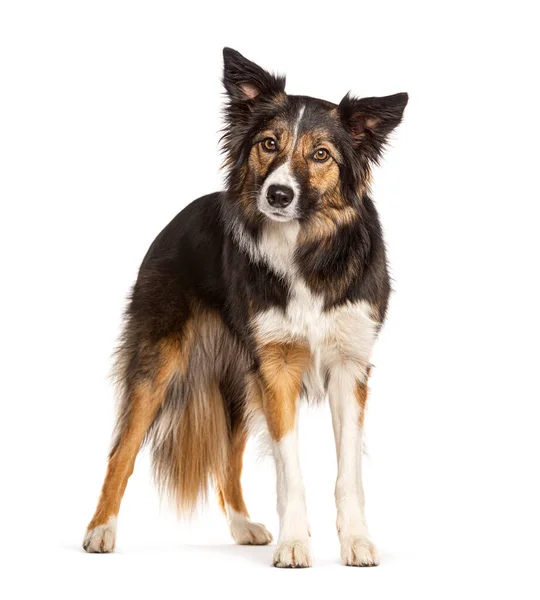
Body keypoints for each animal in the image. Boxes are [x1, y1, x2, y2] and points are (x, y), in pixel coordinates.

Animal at [82, 47, 408, 568]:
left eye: (321, 154)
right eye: (269, 144)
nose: (278, 194)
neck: (304, 250)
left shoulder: (349, 365)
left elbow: (348, 473)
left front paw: (356, 541)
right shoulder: (276, 367)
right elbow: (289, 468)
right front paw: (294, 544)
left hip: (236, 382)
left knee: (226, 455)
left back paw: (242, 525)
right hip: (159, 364)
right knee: (122, 450)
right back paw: (100, 530)